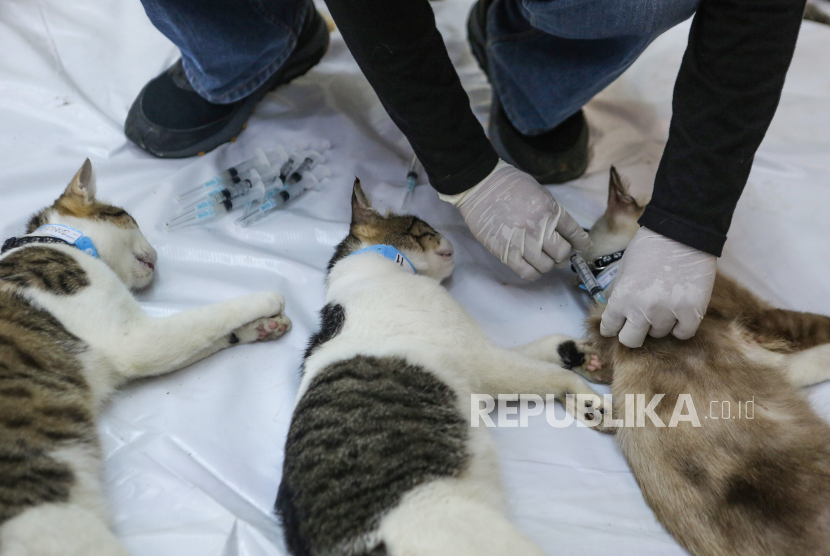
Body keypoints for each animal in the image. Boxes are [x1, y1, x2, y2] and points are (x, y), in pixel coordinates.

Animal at [0, 160, 292, 556]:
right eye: (130, 218)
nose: (157, 254)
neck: (55, 242)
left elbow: (206, 333)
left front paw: (262, 327)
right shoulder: (136, 339)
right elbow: (207, 316)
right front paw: (266, 299)